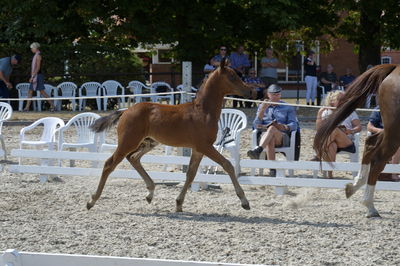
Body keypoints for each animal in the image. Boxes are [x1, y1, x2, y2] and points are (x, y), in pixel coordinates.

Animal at [87, 59, 252, 213]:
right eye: (232, 76)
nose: (250, 92)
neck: (203, 112)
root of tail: (125, 111)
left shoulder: (198, 150)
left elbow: (191, 174)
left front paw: (179, 203)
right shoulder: (205, 146)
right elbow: (227, 165)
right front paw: (244, 201)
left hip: (149, 142)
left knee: (133, 158)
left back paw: (150, 193)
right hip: (128, 142)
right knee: (110, 163)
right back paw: (92, 200)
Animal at [314, 63, 400, 217]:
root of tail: (395, 68)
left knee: (371, 144)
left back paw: (355, 186)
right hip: (395, 130)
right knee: (378, 158)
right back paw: (369, 205)